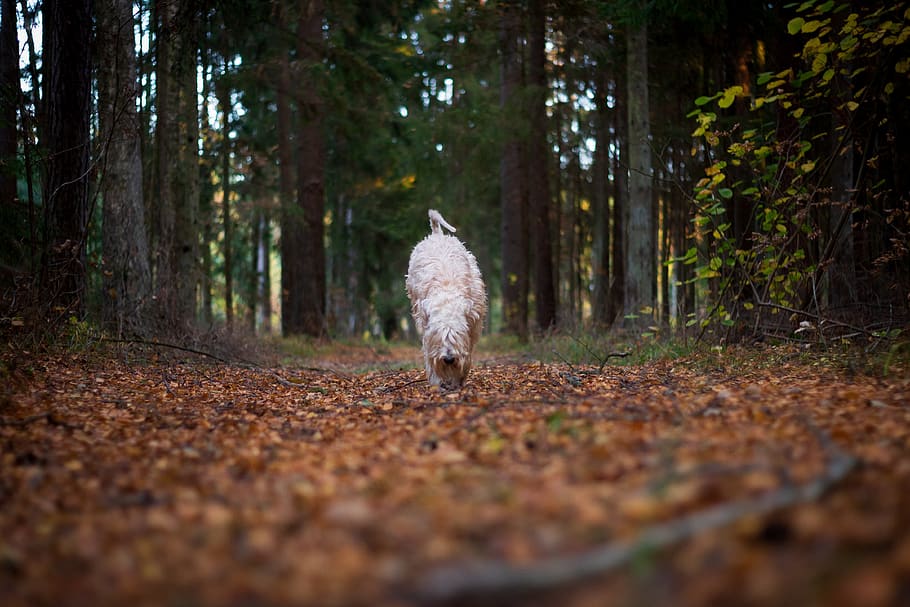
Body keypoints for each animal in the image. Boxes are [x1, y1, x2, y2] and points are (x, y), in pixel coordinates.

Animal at [408, 209, 488, 390]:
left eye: (455, 335)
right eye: (439, 337)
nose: (449, 359)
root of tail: (437, 234)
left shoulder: (472, 326)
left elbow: (467, 352)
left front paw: (459, 379)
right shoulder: (427, 328)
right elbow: (429, 354)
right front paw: (437, 381)